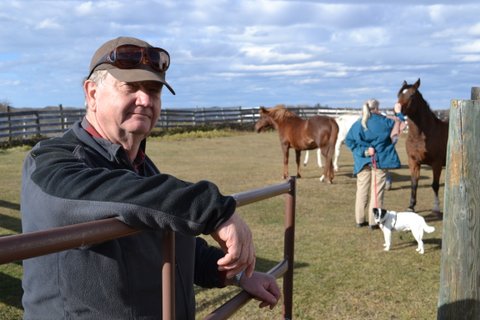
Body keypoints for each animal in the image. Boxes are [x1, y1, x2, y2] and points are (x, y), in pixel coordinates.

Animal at [396, 78, 448, 214]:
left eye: (412, 95)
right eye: (399, 94)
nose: (396, 109)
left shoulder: (437, 164)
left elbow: (435, 185)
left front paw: (436, 208)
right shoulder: (414, 161)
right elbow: (414, 183)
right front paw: (411, 206)